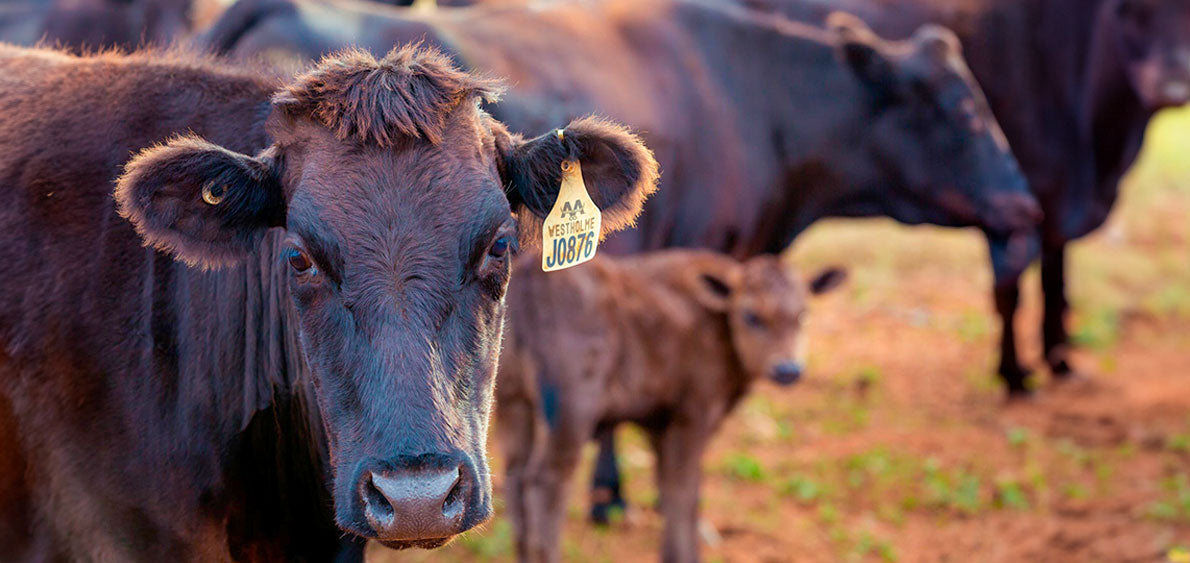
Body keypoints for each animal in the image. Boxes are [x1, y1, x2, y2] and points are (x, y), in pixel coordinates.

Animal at [502, 251, 847, 561]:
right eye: (751, 316)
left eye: (803, 314)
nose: (788, 369)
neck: (718, 317)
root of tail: (530, 275)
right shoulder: (693, 415)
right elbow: (683, 490)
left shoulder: (659, 423)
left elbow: (670, 487)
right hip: (570, 417)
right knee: (545, 484)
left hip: (517, 404)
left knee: (516, 480)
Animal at [742, 0, 1190, 395]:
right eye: (1127, 10)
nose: (1173, 84)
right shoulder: (1018, 206)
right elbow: (1010, 291)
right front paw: (1014, 376)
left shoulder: (1047, 210)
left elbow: (1055, 283)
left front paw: (1059, 361)